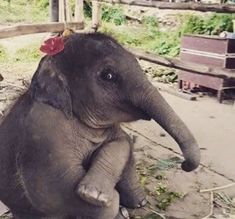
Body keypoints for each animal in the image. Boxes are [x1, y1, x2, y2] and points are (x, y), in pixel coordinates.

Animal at [0, 33, 200, 219]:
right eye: (108, 75)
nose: (184, 165)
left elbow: (123, 141)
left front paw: (96, 194)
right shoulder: (43, 134)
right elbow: (54, 192)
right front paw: (97, 197)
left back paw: (140, 202)